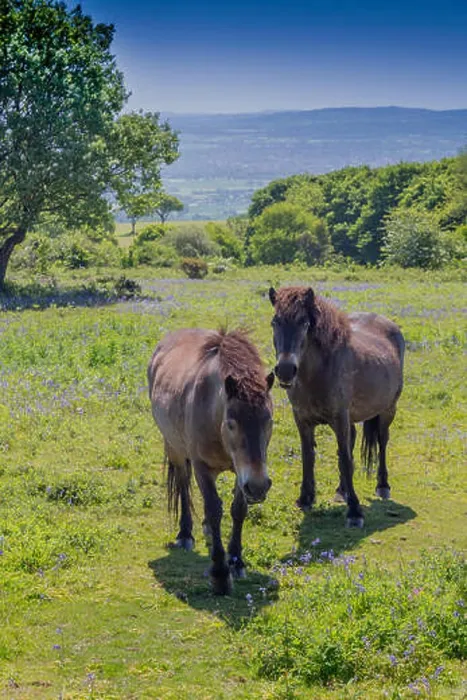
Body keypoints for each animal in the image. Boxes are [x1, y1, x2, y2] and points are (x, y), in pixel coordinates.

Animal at [148, 328, 274, 594]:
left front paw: (236, 561)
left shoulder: (242, 471)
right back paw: (185, 534)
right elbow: (214, 508)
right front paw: (220, 574)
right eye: (231, 423)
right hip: (176, 449)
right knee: (184, 485)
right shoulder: (202, 468)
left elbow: (238, 509)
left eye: (269, 421)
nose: (259, 486)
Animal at [269, 286, 405, 528]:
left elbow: (345, 459)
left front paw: (354, 511)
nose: (285, 370)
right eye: (275, 322)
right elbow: (308, 456)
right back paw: (342, 490)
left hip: (388, 410)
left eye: (304, 323)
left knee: (382, 441)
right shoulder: (302, 419)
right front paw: (306, 498)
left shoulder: (339, 417)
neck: (316, 374)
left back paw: (382, 486)